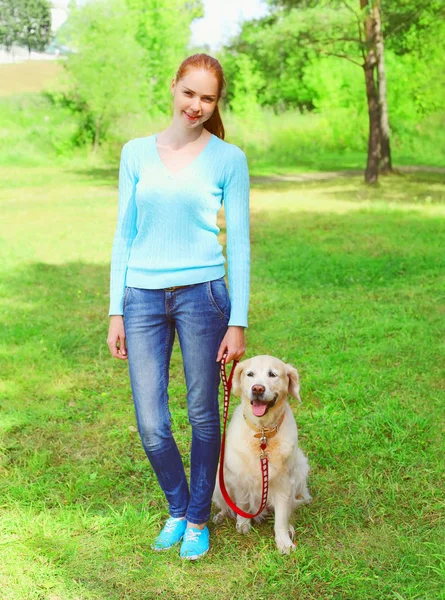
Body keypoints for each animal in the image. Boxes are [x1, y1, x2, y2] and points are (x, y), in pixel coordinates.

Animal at [212, 354, 310, 556]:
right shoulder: (239, 477)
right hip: (218, 482)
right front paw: (243, 524)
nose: (257, 388)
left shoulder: (284, 482)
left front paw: (284, 542)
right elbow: (242, 504)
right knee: (225, 506)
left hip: (300, 472)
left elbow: (281, 517)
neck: (263, 433)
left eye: (273, 374)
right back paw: (220, 516)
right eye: (250, 374)